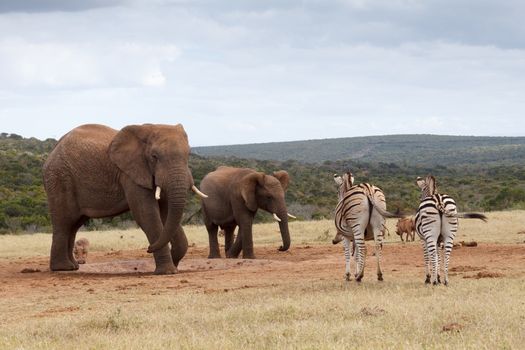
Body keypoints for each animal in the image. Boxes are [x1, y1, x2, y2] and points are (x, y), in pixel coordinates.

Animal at [43, 123, 207, 274]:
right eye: (154, 157)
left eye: (188, 155)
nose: (148, 249)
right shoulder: (130, 175)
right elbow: (146, 214)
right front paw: (167, 271)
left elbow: (166, 213)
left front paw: (173, 267)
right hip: (59, 179)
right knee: (64, 222)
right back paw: (63, 268)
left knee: (74, 224)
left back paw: (73, 267)